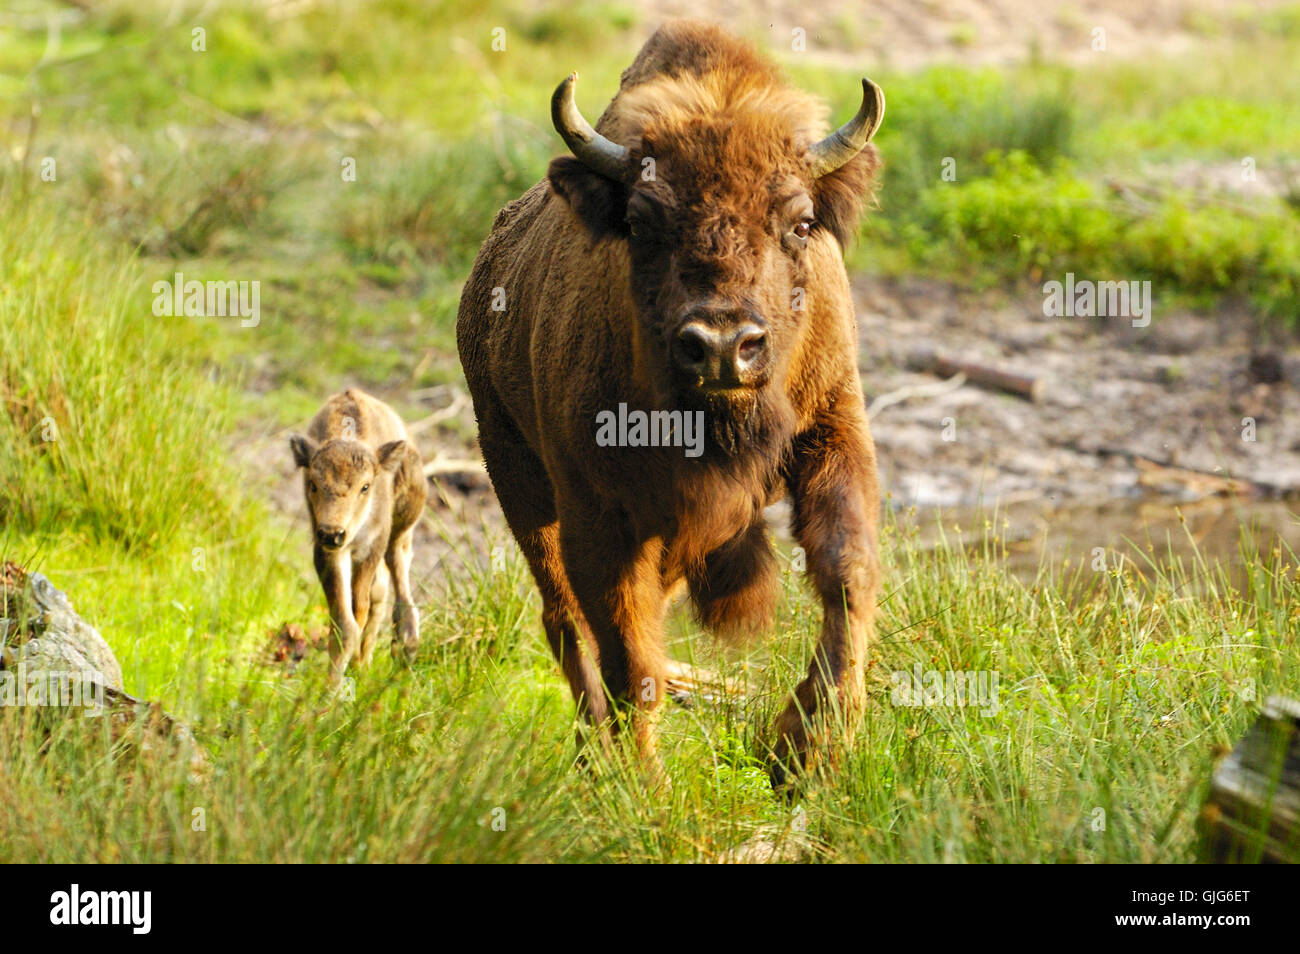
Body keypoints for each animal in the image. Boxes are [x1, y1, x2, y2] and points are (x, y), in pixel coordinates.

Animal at [289, 389, 426, 681]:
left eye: (365, 486)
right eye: (313, 484)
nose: (333, 533)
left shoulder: (370, 549)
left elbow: (360, 608)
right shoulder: (329, 553)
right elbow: (346, 622)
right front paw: (332, 686)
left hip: (401, 531)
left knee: (397, 582)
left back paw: (404, 649)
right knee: (381, 594)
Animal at [454, 20, 883, 790]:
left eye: (800, 222)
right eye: (642, 222)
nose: (722, 346)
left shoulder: (833, 434)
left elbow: (847, 570)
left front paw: (806, 753)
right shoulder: (597, 513)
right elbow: (627, 646)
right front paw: (643, 785)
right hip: (517, 480)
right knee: (565, 619)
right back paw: (595, 753)